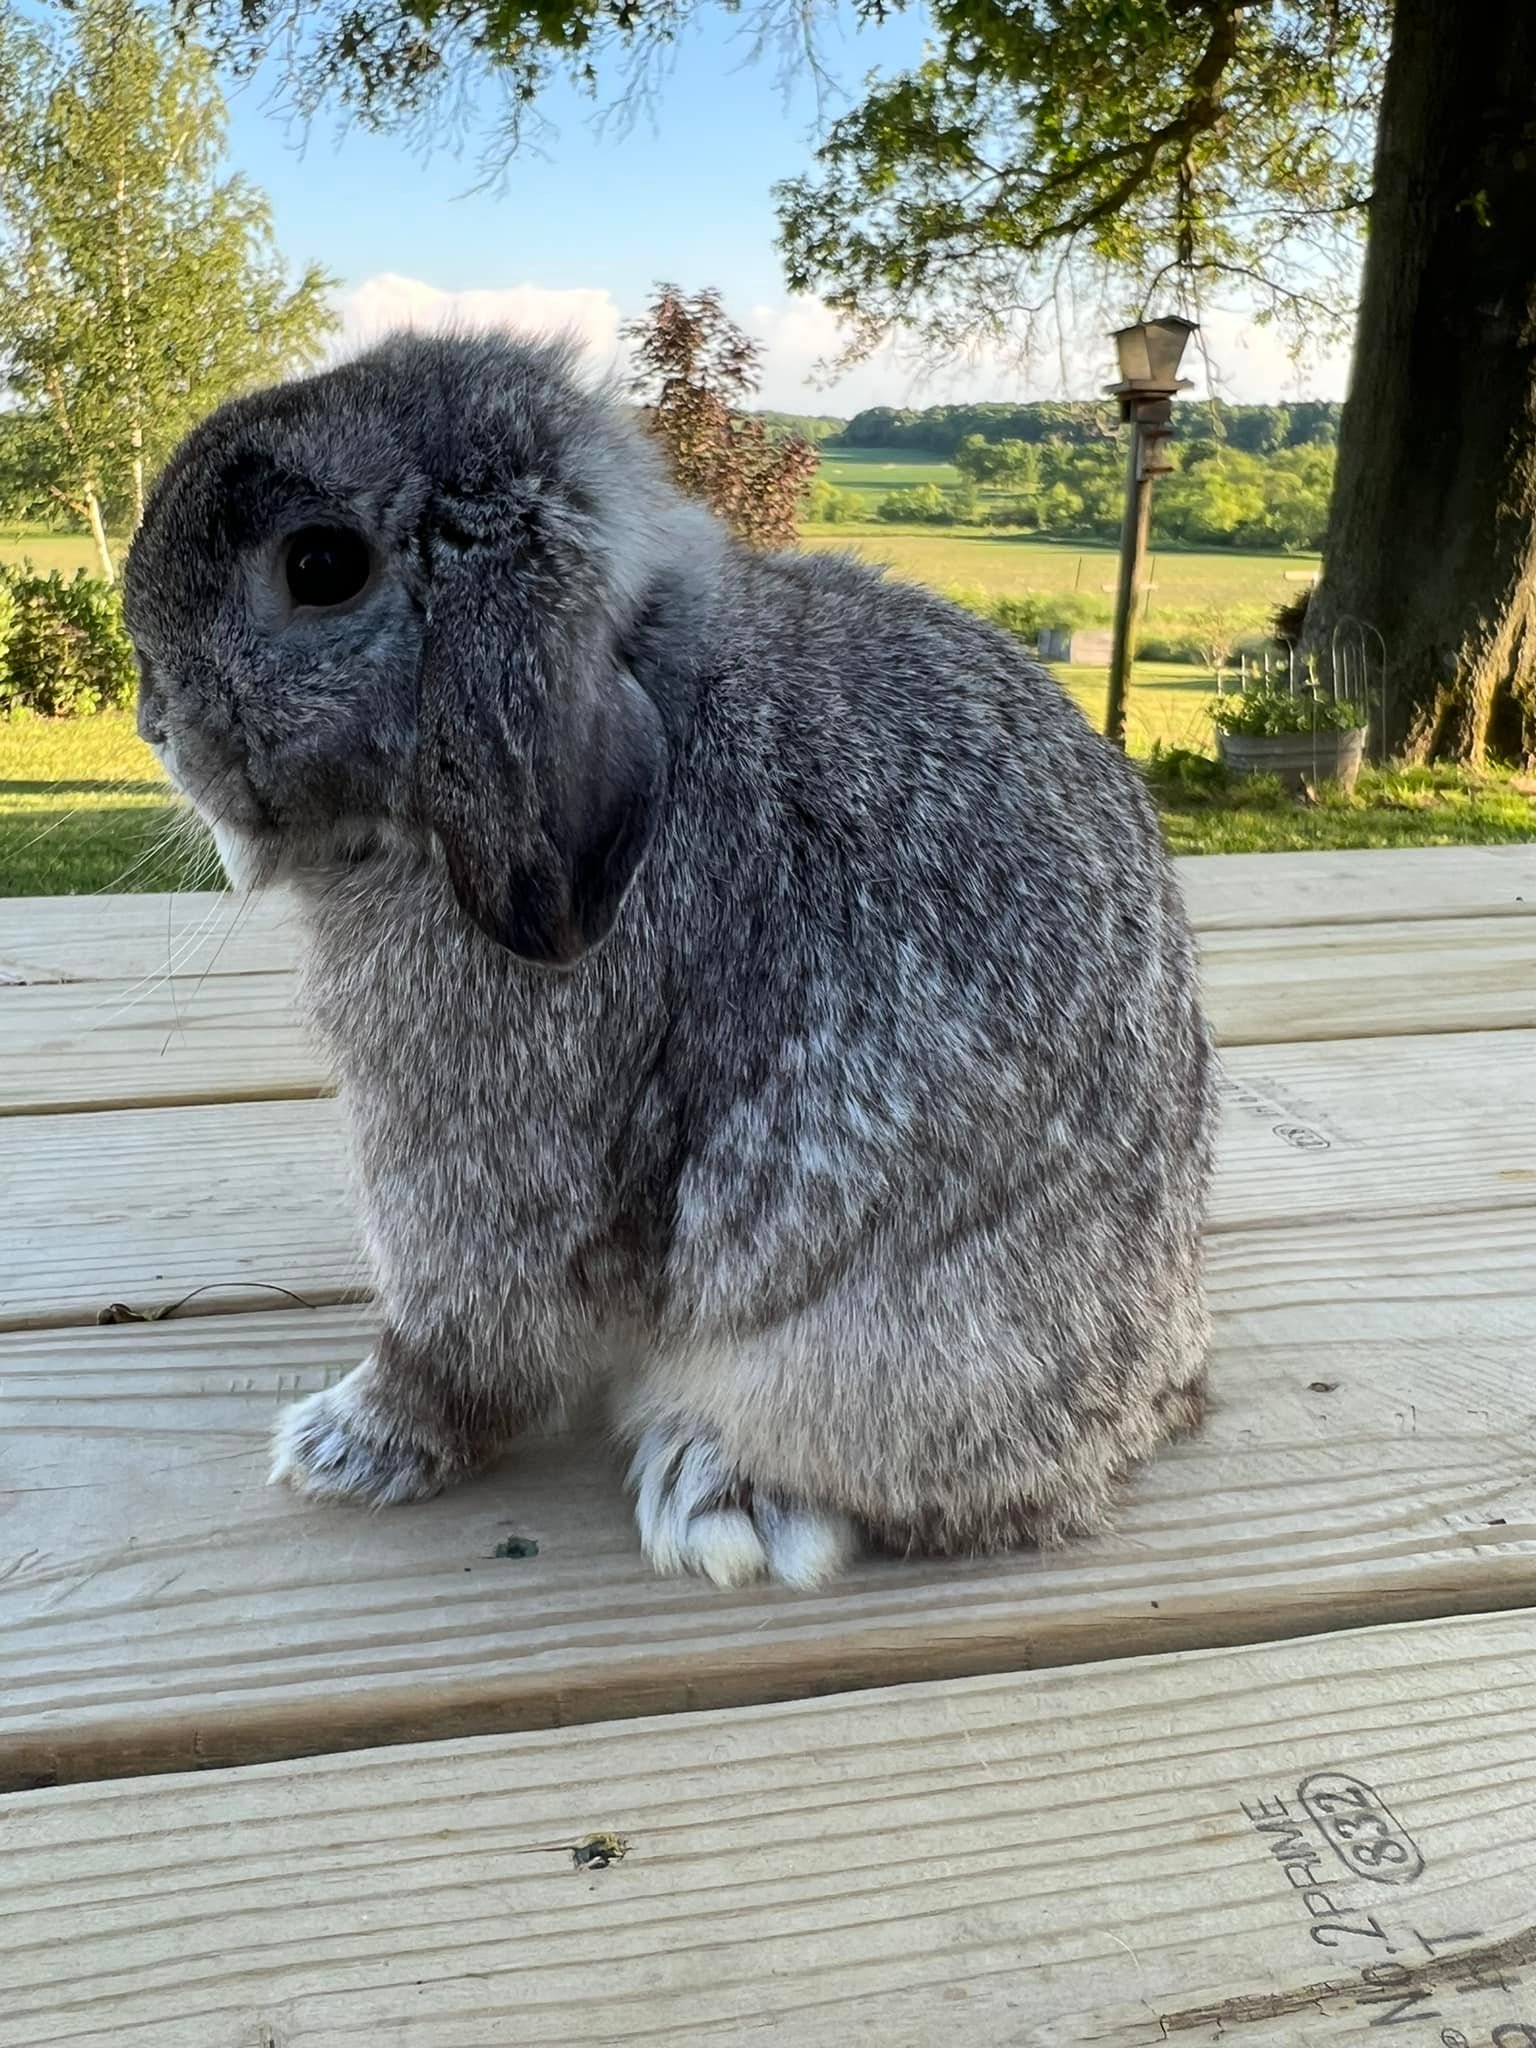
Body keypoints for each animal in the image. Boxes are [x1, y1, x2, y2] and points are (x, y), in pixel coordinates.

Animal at [122, 329, 1216, 1589]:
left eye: (320, 564)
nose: (155, 720)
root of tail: (1157, 1398)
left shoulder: (480, 1155)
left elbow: (463, 1336)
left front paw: (348, 1441)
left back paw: (719, 1495)